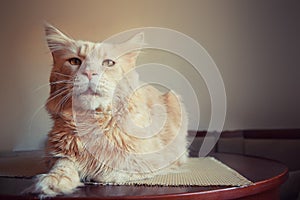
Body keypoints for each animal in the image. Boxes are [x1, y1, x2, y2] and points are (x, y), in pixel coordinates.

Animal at [35, 23, 188, 197]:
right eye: (74, 61)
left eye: (108, 63)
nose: (89, 73)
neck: (93, 121)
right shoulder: (55, 154)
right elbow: (62, 165)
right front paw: (54, 181)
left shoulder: (153, 160)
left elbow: (112, 169)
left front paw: (94, 172)